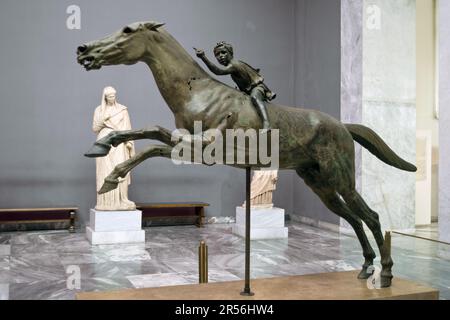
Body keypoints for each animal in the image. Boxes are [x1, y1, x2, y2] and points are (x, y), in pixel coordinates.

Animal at [75, 20, 416, 288]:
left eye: (128, 30)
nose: (83, 50)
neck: (198, 92)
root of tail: (343, 126)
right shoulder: (186, 140)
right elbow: (150, 130)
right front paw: (102, 147)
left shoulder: (203, 150)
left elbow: (154, 145)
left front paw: (111, 178)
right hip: (320, 185)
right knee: (355, 219)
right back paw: (365, 268)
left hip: (341, 179)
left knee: (370, 217)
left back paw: (385, 274)